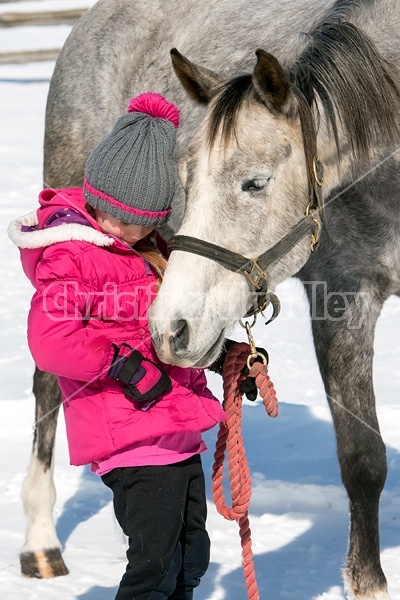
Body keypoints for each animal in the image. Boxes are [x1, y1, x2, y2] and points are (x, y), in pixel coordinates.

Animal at [22, 1, 400, 600]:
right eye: (184, 177)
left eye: (255, 183)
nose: (168, 329)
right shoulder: (344, 294)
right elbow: (363, 460)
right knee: (47, 383)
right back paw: (40, 541)